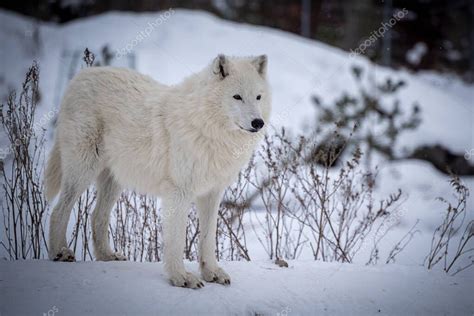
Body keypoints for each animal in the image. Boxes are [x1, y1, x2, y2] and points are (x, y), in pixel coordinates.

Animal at [46, 55, 272, 288]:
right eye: (237, 96)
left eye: (258, 97)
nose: (258, 122)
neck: (208, 128)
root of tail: (80, 76)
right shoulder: (179, 192)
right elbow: (176, 240)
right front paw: (181, 277)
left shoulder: (212, 193)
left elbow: (208, 238)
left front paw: (212, 273)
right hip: (82, 170)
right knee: (58, 211)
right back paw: (60, 253)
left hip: (114, 181)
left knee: (96, 216)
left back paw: (106, 256)